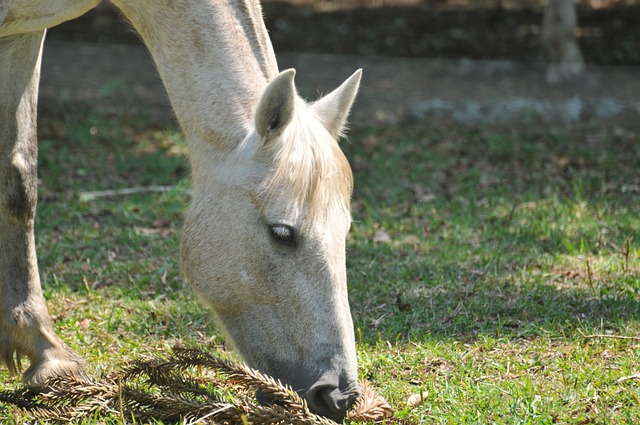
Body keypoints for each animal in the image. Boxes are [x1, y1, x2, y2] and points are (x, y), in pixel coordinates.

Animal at [0, 0, 360, 420]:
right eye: (282, 233)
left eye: (345, 230)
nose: (338, 396)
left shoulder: (24, 33)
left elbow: (19, 179)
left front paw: (45, 355)